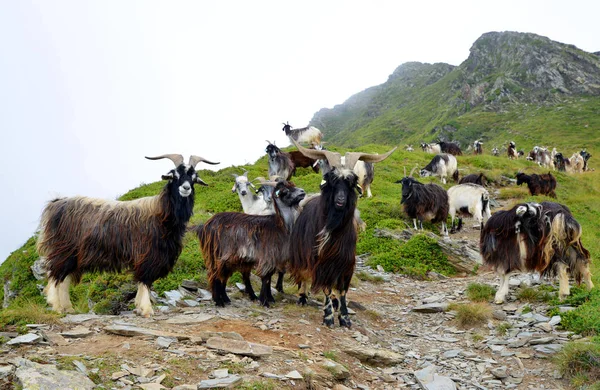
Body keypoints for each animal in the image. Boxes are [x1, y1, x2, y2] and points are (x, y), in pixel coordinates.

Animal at [38, 153, 219, 316]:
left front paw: (138, 307)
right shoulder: (147, 254)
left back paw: (68, 308)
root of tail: (56, 203)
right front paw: (146, 309)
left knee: (64, 278)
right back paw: (56, 306)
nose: (185, 188)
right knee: (55, 275)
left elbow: (142, 282)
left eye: (194, 177)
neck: (160, 212)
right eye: (174, 175)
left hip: (74, 255)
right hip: (63, 250)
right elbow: (145, 279)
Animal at [196, 179, 304, 308]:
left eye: (293, 185)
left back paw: (226, 299)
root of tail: (205, 226)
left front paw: (267, 299)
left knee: (223, 276)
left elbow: (268, 277)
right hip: (218, 254)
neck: (280, 226)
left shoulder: (274, 258)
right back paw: (219, 301)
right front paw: (264, 301)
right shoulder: (268, 256)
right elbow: (266, 278)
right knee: (215, 274)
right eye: (285, 190)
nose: (302, 191)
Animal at [288, 139, 396, 328]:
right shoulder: (320, 261)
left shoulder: (345, 262)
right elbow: (325, 286)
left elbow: (342, 290)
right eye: (332, 180)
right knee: (304, 275)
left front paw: (344, 317)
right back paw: (303, 297)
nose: (340, 201)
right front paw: (329, 317)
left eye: (351, 182)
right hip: (300, 253)